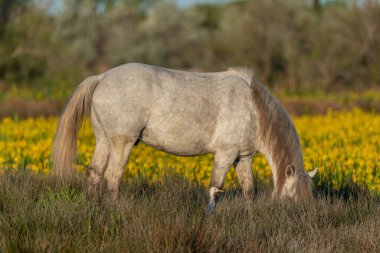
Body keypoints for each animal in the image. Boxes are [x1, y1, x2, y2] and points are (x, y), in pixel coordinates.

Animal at [52, 63, 316, 211]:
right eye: (292, 197)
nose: (301, 217)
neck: (252, 106)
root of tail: (101, 78)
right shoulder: (225, 153)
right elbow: (215, 188)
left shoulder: (243, 157)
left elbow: (249, 190)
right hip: (122, 143)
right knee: (112, 177)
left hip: (104, 141)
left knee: (94, 173)